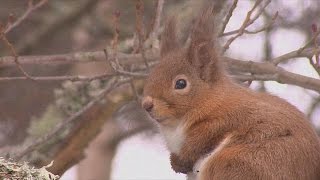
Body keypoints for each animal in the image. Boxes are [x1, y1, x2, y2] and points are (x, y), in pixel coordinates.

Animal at [141, 4, 320, 180]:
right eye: (151, 74)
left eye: (180, 83)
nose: (146, 104)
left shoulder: (227, 117)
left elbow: (203, 138)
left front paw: (180, 160)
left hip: (241, 161)